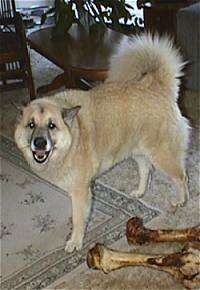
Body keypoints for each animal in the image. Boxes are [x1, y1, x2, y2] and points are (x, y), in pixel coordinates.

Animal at [14, 33, 190, 251]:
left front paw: (75, 241)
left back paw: (181, 200)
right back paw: (139, 192)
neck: (74, 136)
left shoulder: (81, 190)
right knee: (145, 170)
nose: (39, 143)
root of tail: (155, 85)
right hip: (138, 151)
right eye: (31, 125)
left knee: (181, 177)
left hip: (162, 155)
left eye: (52, 125)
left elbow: (79, 218)